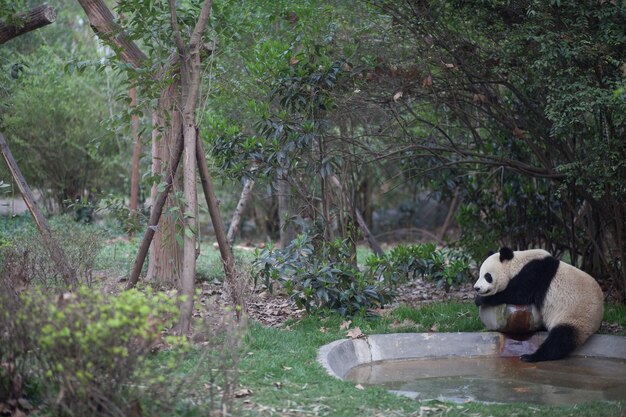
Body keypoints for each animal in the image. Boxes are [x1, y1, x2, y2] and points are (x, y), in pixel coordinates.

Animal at [476, 247, 604, 360]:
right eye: (479, 275)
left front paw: (480, 300)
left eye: (487, 276)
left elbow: (518, 294)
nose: (476, 288)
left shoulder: (535, 273)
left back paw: (531, 357)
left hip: (576, 315)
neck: (518, 263)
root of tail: (599, 318)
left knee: (561, 339)